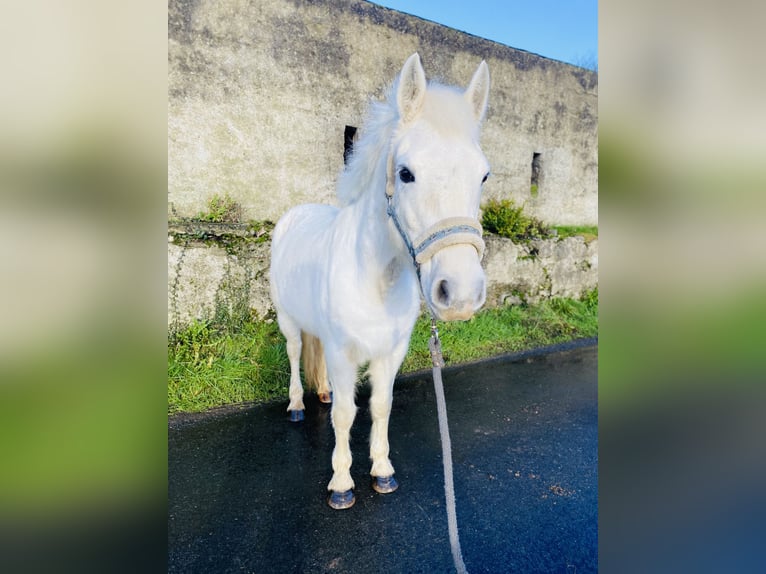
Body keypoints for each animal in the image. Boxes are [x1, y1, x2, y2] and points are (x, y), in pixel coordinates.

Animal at [270, 54, 488, 510]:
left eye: (483, 176)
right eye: (405, 173)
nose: (460, 294)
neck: (375, 280)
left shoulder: (391, 352)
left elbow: (380, 406)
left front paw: (382, 471)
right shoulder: (342, 352)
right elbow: (345, 415)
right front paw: (341, 483)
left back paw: (322, 392)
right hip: (288, 320)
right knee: (296, 354)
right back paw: (297, 404)